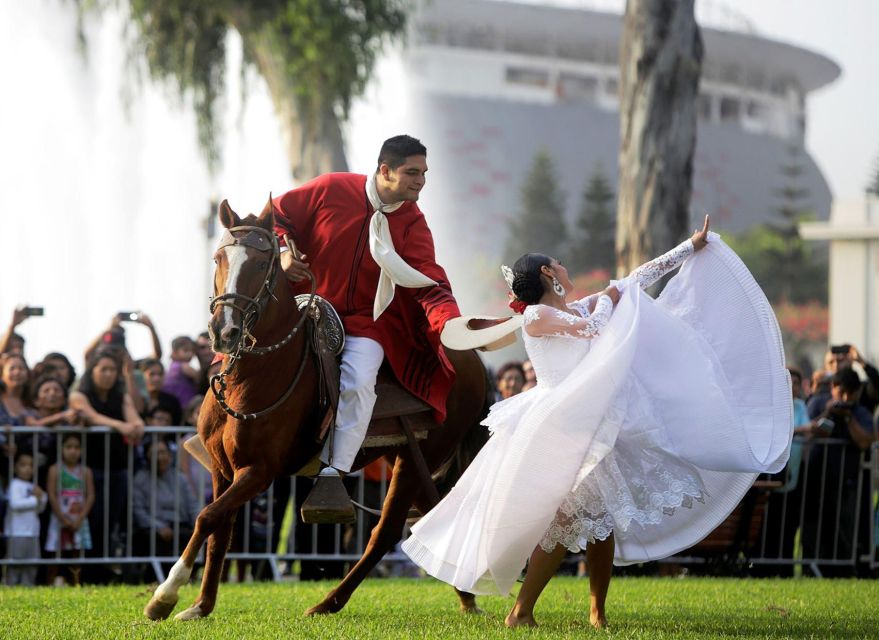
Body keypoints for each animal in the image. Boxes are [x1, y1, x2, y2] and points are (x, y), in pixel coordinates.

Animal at [144, 199, 488, 620]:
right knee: (431, 513)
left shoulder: (258, 472)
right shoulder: (222, 469)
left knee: (386, 532)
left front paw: (166, 594)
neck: (256, 375)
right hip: (406, 457)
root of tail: (473, 360)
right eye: (218, 258)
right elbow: (220, 528)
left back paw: (329, 602)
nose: (224, 331)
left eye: (262, 263)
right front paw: (201, 604)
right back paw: (465, 595)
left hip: (415, 457)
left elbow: (206, 517)